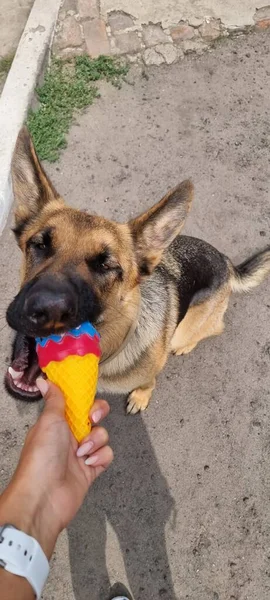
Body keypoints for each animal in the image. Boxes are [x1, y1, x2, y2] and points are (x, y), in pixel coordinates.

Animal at [4, 127, 270, 412]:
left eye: (106, 265)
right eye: (40, 244)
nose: (48, 310)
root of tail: (225, 260)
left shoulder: (150, 371)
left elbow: (148, 383)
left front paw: (141, 396)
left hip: (188, 329)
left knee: (214, 328)